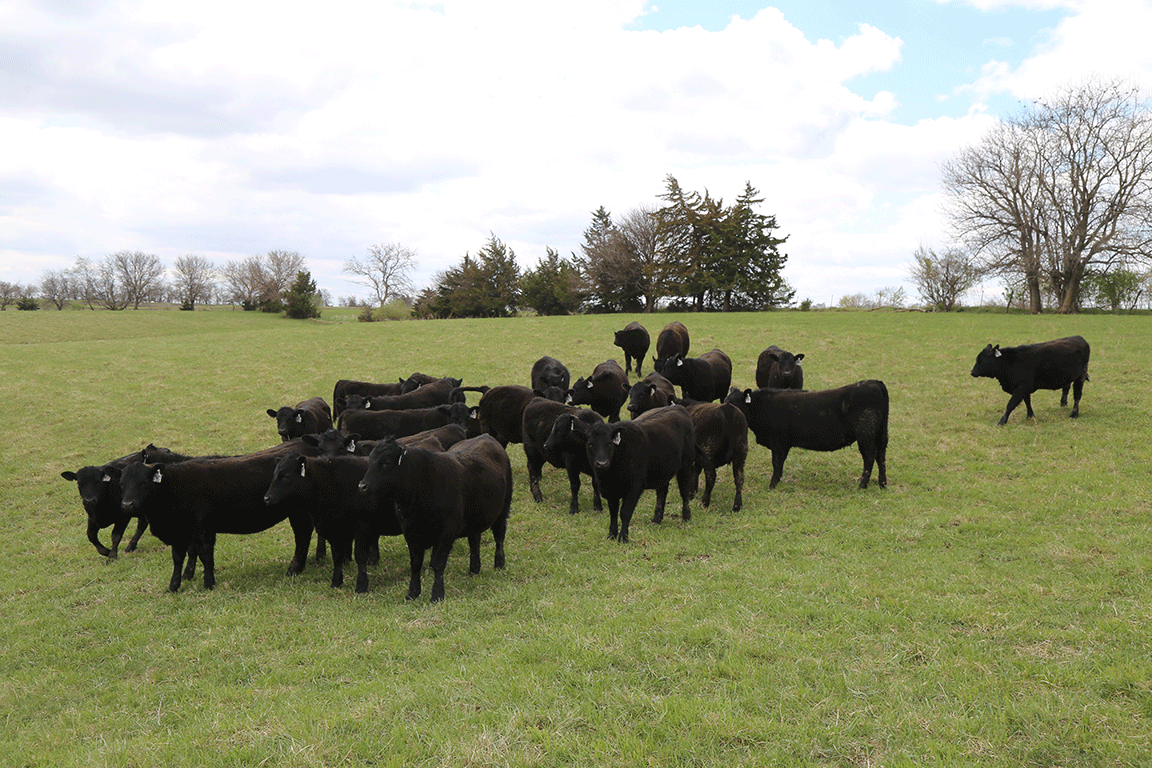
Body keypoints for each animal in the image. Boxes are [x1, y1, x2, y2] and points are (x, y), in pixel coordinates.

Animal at [114, 450, 320, 592]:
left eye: (143, 482)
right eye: (122, 484)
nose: (127, 504)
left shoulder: (203, 528)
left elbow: (205, 555)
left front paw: (208, 583)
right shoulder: (180, 532)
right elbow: (179, 558)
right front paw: (174, 586)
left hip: (299, 512)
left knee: (302, 534)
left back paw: (294, 568)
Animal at [358, 434, 512, 603]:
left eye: (386, 462)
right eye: (370, 460)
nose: (362, 486)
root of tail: (486, 437)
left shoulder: (447, 531)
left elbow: (437, 563)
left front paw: (437, 595)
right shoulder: (410, 532)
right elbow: (415, 564)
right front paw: (412, 593)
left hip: (503, 510)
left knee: (499, 536)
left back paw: (499, 564)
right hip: (474, 520)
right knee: (474, 542)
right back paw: (474, 569)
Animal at [571, 405, 696, 543]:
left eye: (609, 443)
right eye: (590, 444)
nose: (602, 463)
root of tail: (677, 407)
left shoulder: (634, 487)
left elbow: (625, 512)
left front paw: (623, 538)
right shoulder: (610, 491)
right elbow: (613, 512)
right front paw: (611, 535)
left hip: (686, 466)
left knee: (684, 492)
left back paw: (686, 517)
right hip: (663, 471)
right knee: (662, 492)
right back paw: (656, 519)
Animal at [725, 380, 889, 490]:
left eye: (733, 403)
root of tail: (874, 383)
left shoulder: (778, 443)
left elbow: (777, 464)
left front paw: (772, 485)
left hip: (865, 435)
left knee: (869, 457)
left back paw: (862, 485)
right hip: (880, 434)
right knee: (880, 456)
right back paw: (882, 483)